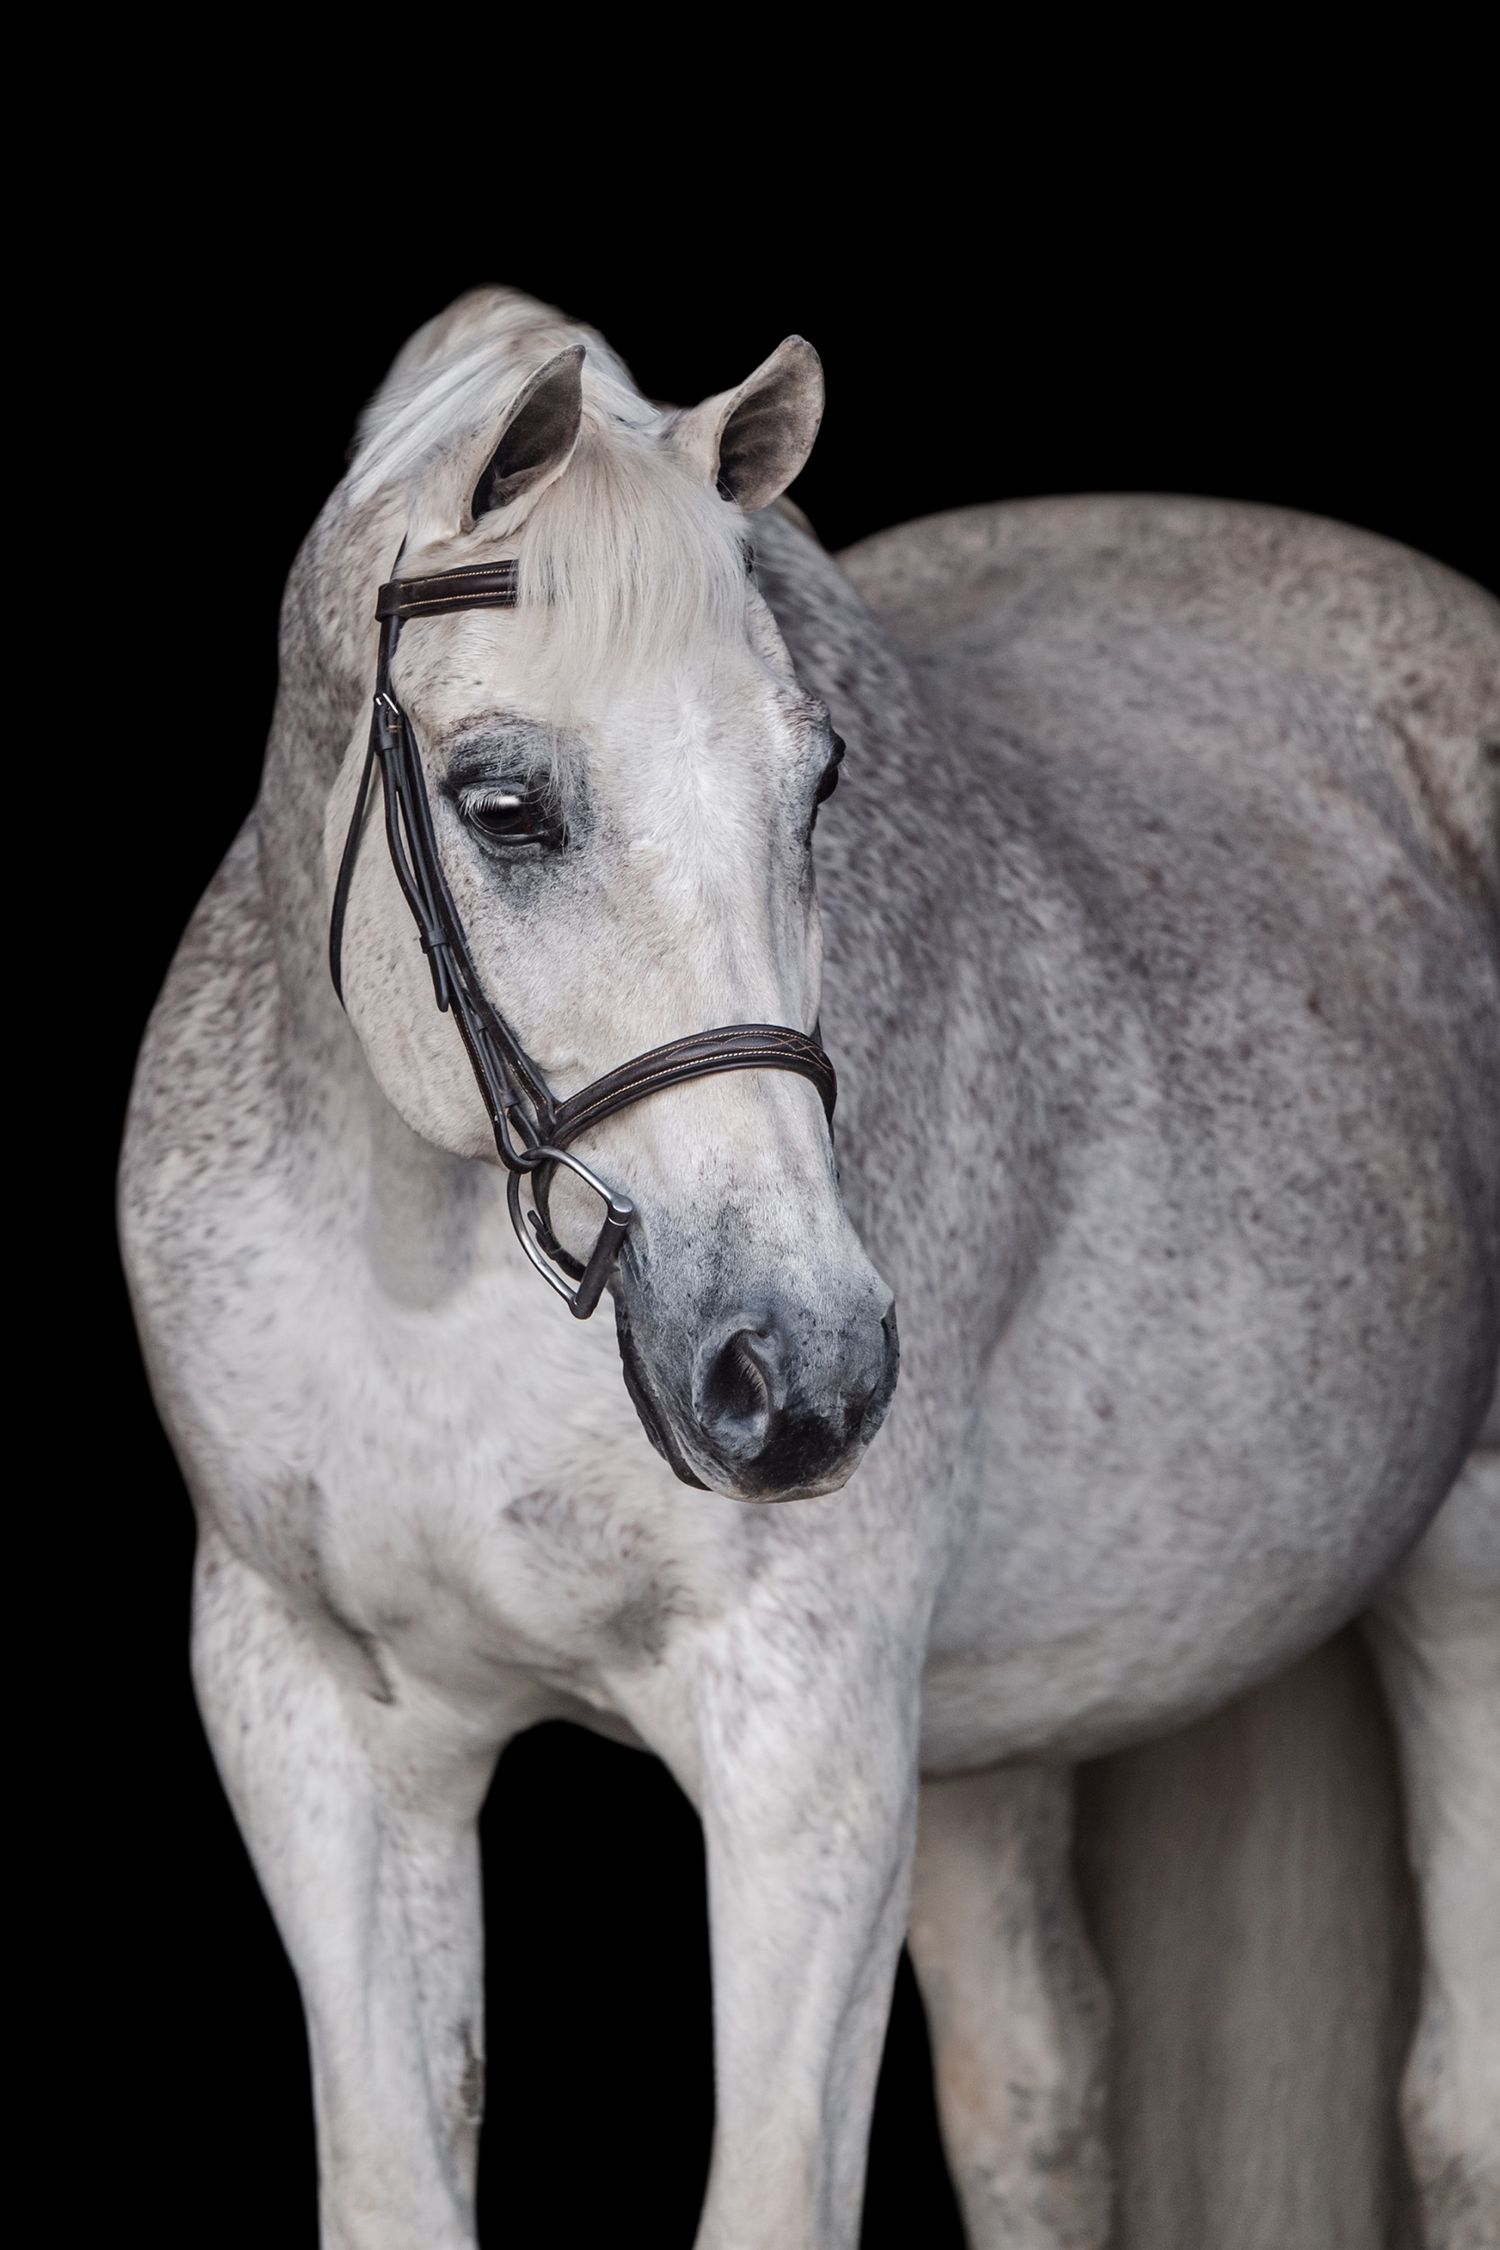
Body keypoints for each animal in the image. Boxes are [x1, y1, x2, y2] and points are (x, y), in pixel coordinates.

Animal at [118, 285, 1499, 2250]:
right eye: (504, 802)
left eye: (820, 777)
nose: (808, 1373)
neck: (417, 1264)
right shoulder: (317, 1721)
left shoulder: (807, 1766)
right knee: (1035, 2095)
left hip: (1464, 1575)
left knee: (1457, 2103)